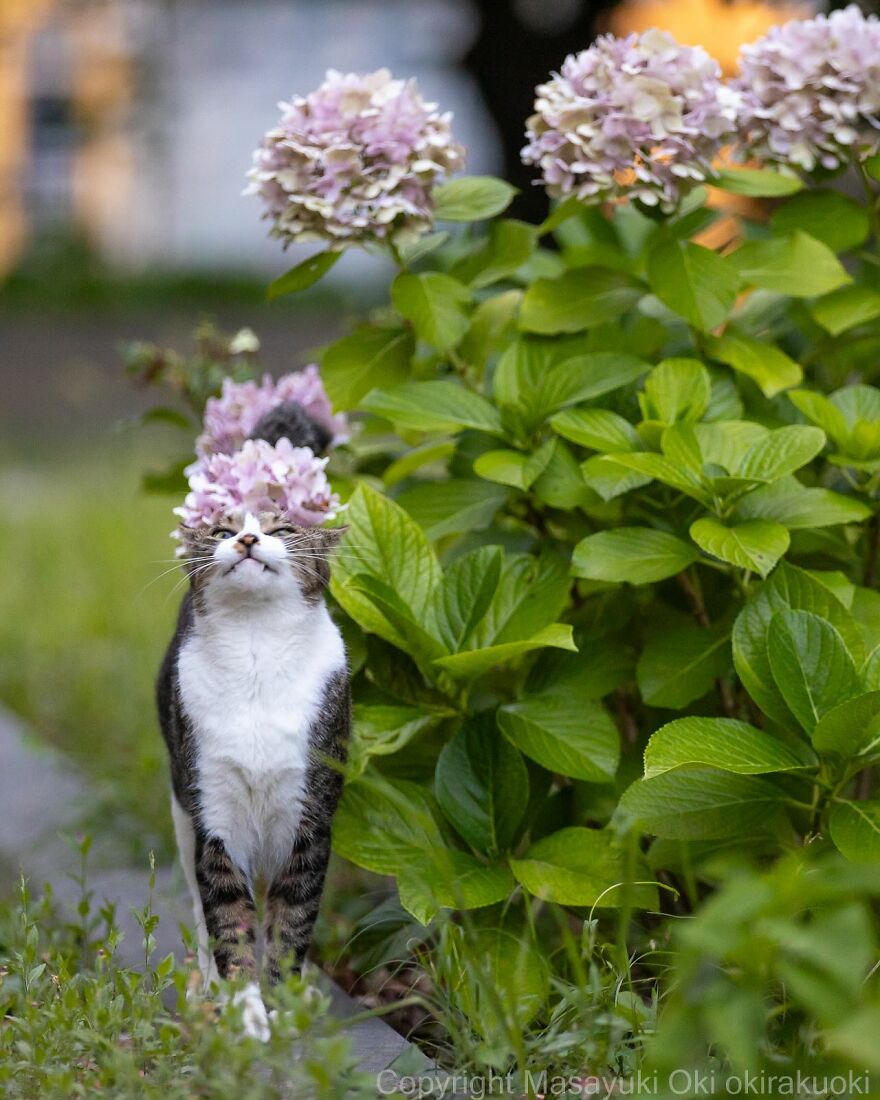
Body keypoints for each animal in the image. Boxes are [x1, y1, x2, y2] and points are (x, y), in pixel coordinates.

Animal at [156, 404, 349, 1038]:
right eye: (220, 531)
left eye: (281, 530)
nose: (245, 537)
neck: (256, 649)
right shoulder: (214, 816)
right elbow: (230, 924)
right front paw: (245, 1017)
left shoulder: (309, 818)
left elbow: (290, 924)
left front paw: (284, 1005)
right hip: (180, 808)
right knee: (198, 908)